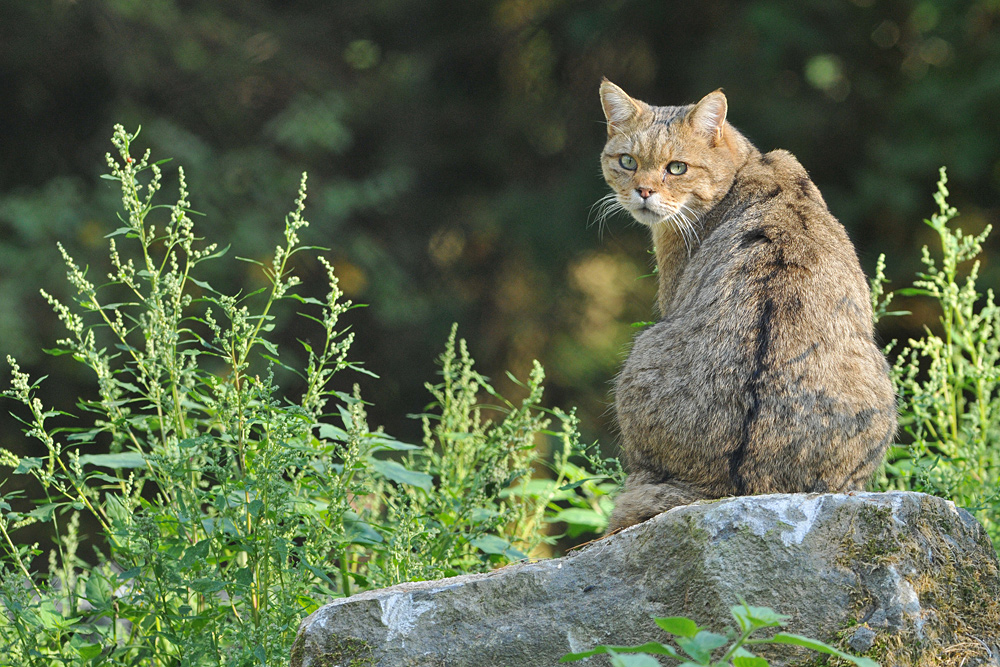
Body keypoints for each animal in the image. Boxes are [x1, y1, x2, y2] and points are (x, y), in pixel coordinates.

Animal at [600, 81, 900, 536]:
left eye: (677, 168)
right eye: (627, 162)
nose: (644, 192)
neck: (746, 162)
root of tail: (737, 484)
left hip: (642, 348)